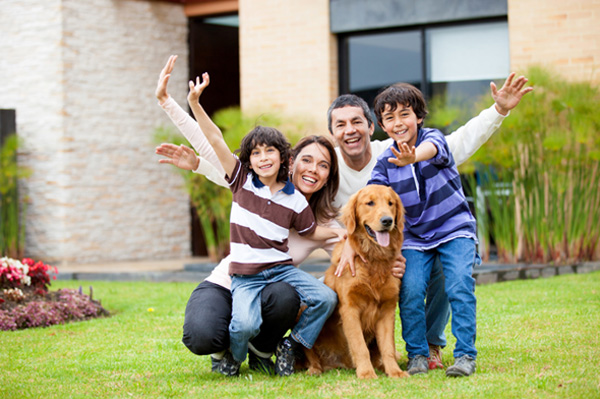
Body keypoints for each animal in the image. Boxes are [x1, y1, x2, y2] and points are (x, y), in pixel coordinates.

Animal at [302, 186, 406, 380]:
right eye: (370, 203)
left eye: (391, 203)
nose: (387, 220)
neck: (374, 259)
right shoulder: (350, 309)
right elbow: (359, 346)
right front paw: (366, 373)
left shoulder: (387, 309)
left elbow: (388, 347)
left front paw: (394, 371)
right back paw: (314, 369)